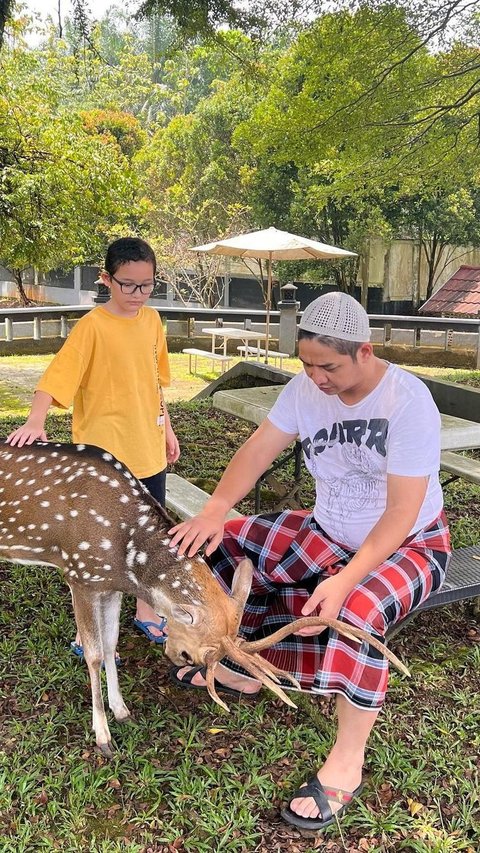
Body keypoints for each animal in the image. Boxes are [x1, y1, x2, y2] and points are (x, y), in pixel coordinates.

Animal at [0, 440, 408, 752]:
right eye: (193, 654)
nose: (178, 658)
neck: (125, 553)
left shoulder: (108, 583)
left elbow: (113, 642)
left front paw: (121, 711)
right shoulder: (79, 573)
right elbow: (95, 653)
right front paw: (102, 736)